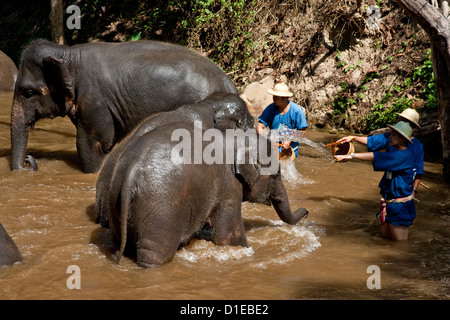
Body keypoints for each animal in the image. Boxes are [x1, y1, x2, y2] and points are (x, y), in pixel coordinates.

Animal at [9, 39, 253, 174]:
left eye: (28, 93)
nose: (29, 160)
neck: (68, 54)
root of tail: (230, 83)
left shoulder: (95, 103)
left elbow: (93, 145)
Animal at [96, 115, 308, 268]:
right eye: (277, 175)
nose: (306, 212)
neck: (232, 139)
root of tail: (131, 174)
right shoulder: (229, 188)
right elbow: (229, 236)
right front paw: (247, 249)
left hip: (116, 203)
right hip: (161, 212)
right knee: (154, 255)